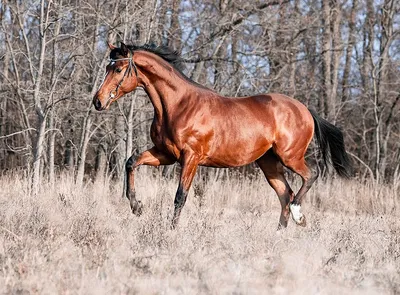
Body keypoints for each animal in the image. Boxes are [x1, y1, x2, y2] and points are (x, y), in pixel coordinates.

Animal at [93, 42, 350, 230]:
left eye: (118, 69)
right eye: (106, 68)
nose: (98, 101)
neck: (178, 105)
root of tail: (305, 110)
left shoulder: (190, 158)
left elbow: (180, 196)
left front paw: (170, 231)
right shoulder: (165, 154)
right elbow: (131, 162)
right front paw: (137, 207)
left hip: (290, 157)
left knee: (309, 177)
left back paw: (299, 216)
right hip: (269, 163)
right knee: (285, 194)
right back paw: (280, 234)